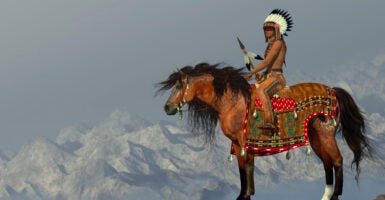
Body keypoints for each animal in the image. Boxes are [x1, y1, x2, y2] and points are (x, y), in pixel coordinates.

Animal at [154, 62, 370, 200]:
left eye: (179, 86)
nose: (167, 107)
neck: (232, 103)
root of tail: (333, 91)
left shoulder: (242, 143)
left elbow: (244, 171)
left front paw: (244, 195)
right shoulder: (238, 144)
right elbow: (247, 170)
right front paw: (247, 193)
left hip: (325, 135)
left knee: (337, 160)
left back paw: (334, 195)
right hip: (316, 138)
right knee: (327, 162)